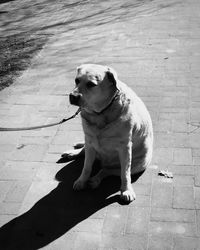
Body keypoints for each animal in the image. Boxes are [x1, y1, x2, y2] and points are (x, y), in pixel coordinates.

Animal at [62, 63, 153, 202]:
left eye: (91, 84)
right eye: (77, 80)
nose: (72, 96)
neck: (100, 113)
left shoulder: (125, 148)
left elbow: (125, 173)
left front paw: (126, 190)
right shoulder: (90, 141)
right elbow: (86, 167)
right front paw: (82, 180)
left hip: (139, 164)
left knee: (108, 170)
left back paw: (95, 179)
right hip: (90, 143)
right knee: (85, 152)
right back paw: (73, 153)